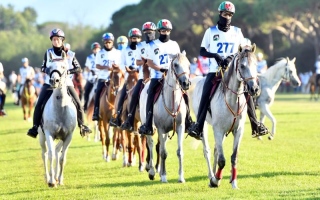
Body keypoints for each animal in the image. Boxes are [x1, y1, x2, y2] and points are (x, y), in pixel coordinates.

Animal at [37, 50, 76, 188]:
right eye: (49, 68)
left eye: (63, 67)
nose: (54, 80)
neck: (60, 110)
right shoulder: (49, 134)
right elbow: (51, 155)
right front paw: (52, 181)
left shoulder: (68, 136)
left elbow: (62, 158)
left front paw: (59, 179)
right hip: (41, 136)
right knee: (45, 154)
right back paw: (49, 177)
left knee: (58, 151)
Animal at [139, 52, 190, 183]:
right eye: (175, 64)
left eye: (188, 64)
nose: (186, 83)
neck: (172, 100)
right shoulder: (161, 128)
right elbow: (163, 153)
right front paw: (163, 176)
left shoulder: (180, 127)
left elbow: (179, 151)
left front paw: (181, 177)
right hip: (150, 128)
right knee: (151, 145)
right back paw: (152, 171)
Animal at [190, 44, 260, 189]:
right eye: (242, 66)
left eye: (256, 64)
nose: (254, 89)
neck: (233, 100)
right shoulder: (218, 130)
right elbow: (222, 160)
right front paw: (215, 180)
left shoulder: (238, 130)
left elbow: (234, 157)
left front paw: (233, 183)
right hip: (204, 126)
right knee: (207, 150)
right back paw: (212, 176)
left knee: (216, 150)